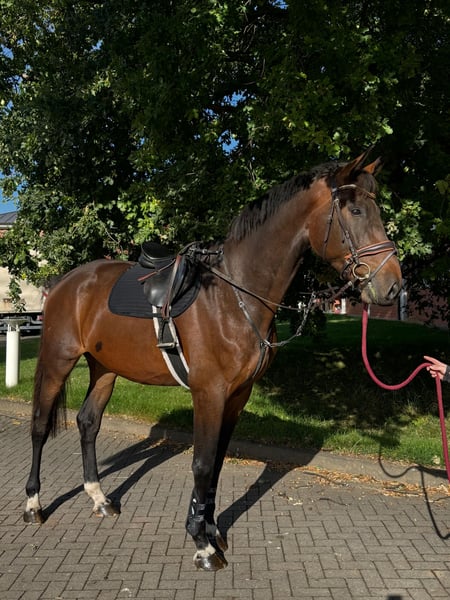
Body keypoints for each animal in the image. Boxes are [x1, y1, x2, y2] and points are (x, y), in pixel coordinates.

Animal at [23, 152, 402, 571]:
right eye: (355, 210)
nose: (392, 286)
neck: (234, 297)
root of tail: (65, 283)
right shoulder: (209, 393)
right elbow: (202, 464)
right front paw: (202, 544)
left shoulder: (237, 395)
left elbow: (217, 462)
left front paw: (211, 529)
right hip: (58, 360)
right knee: (39, 425)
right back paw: (34, 505)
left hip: (105, 368)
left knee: (88, 423)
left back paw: (99, 498)